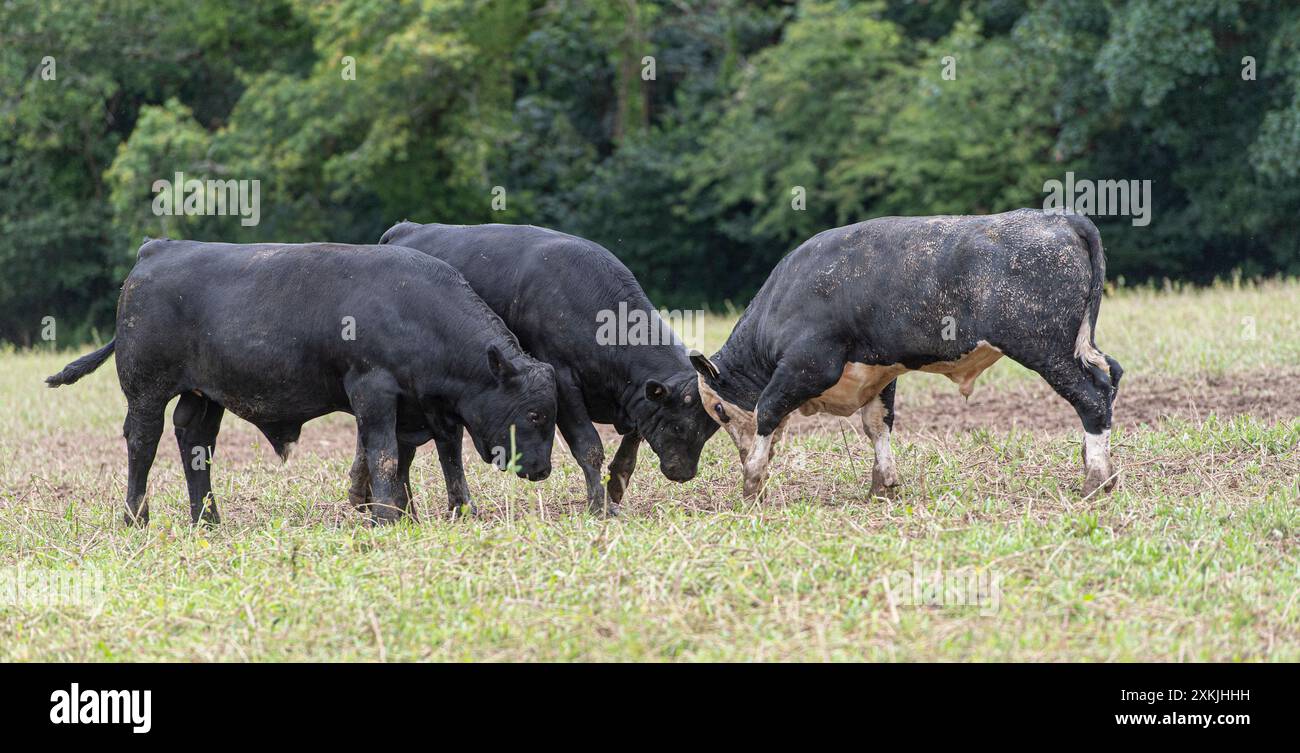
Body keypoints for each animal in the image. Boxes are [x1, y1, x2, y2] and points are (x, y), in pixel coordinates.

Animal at [44, 240, 553, 525]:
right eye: (533, 413)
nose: (543, 470)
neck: (416, 308)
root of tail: (156, 248)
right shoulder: (373, 391)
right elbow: (384, 455)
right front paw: (388, 517)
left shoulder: (432, 409)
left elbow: (446, 458)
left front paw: (456, 512)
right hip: (146, 390)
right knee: (142, 444)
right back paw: (136, 517)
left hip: (204, 396)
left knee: (194, 442)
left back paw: (208, 519)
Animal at [351, 223, 717, 515]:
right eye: (679, 426)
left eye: (709, 429)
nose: (683, 472)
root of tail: (406, 227)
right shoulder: (564, 382)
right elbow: (589, 446)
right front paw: (599, 504)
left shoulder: (636, 398)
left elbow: (631, 445)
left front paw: (614, 488)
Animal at [691, 209, 1128, 496]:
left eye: (718, 410)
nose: (740, 453)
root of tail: (1061, 218)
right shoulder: (877, 372)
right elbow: (877, 424)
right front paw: (883, 484)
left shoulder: (809, 365)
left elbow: (766, 409)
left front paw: (752, 479)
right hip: (1074, 348)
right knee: (1110, 376)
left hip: (1046, 348)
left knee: (1091, 399)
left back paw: (1095, 478)